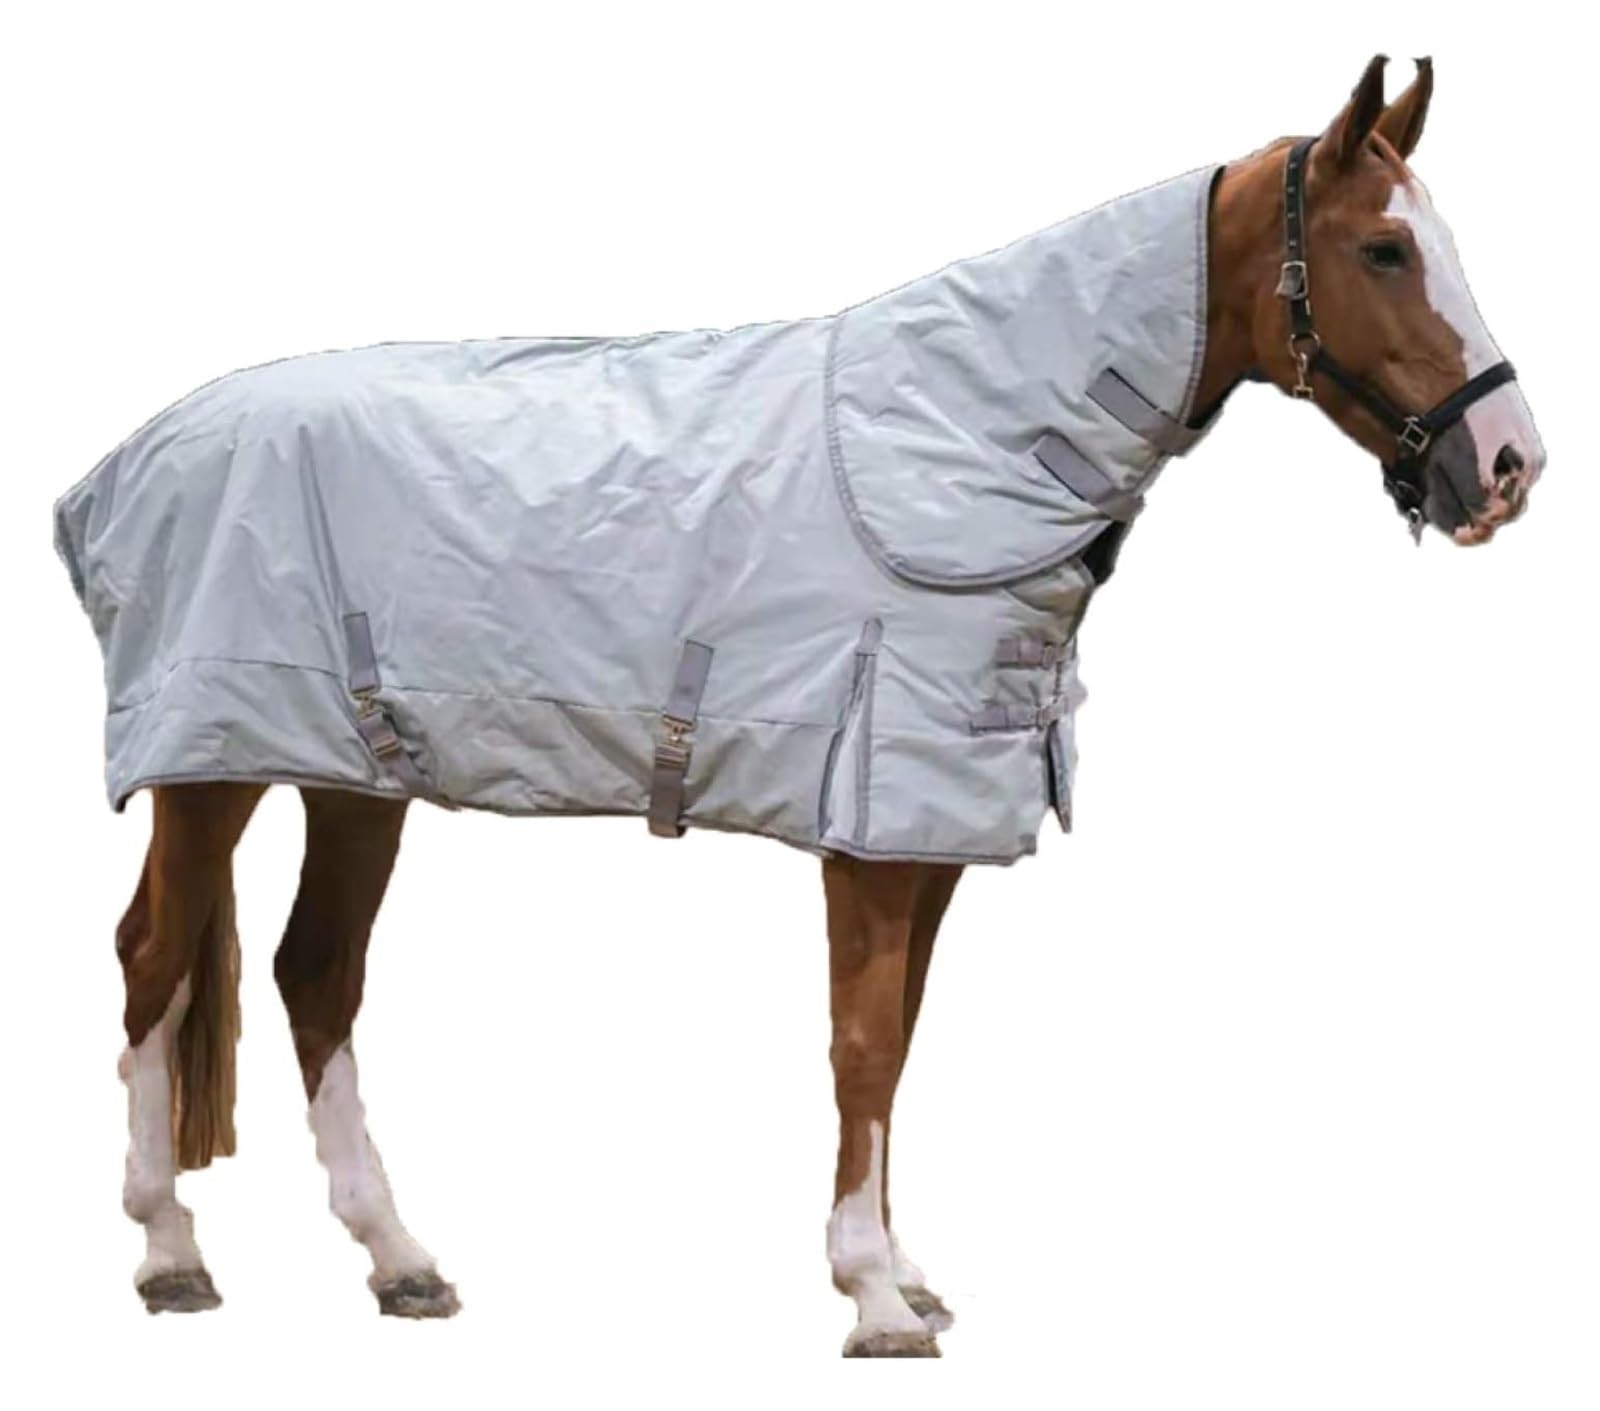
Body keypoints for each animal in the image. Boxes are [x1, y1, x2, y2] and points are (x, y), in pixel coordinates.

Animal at [59, 54, 1543, 1357]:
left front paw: (905, 1271)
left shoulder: (929, 831)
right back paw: (170, 1254)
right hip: (211, 767)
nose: (1508, 464)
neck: (952, 448)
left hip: (355, 773)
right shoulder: (870, 829)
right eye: (1385, 251)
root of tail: (128, 461)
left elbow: (903, 1042)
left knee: (315, 972)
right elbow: (864, 1043)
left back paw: (401, 1261)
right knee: (152, 960)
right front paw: (875, 1299)